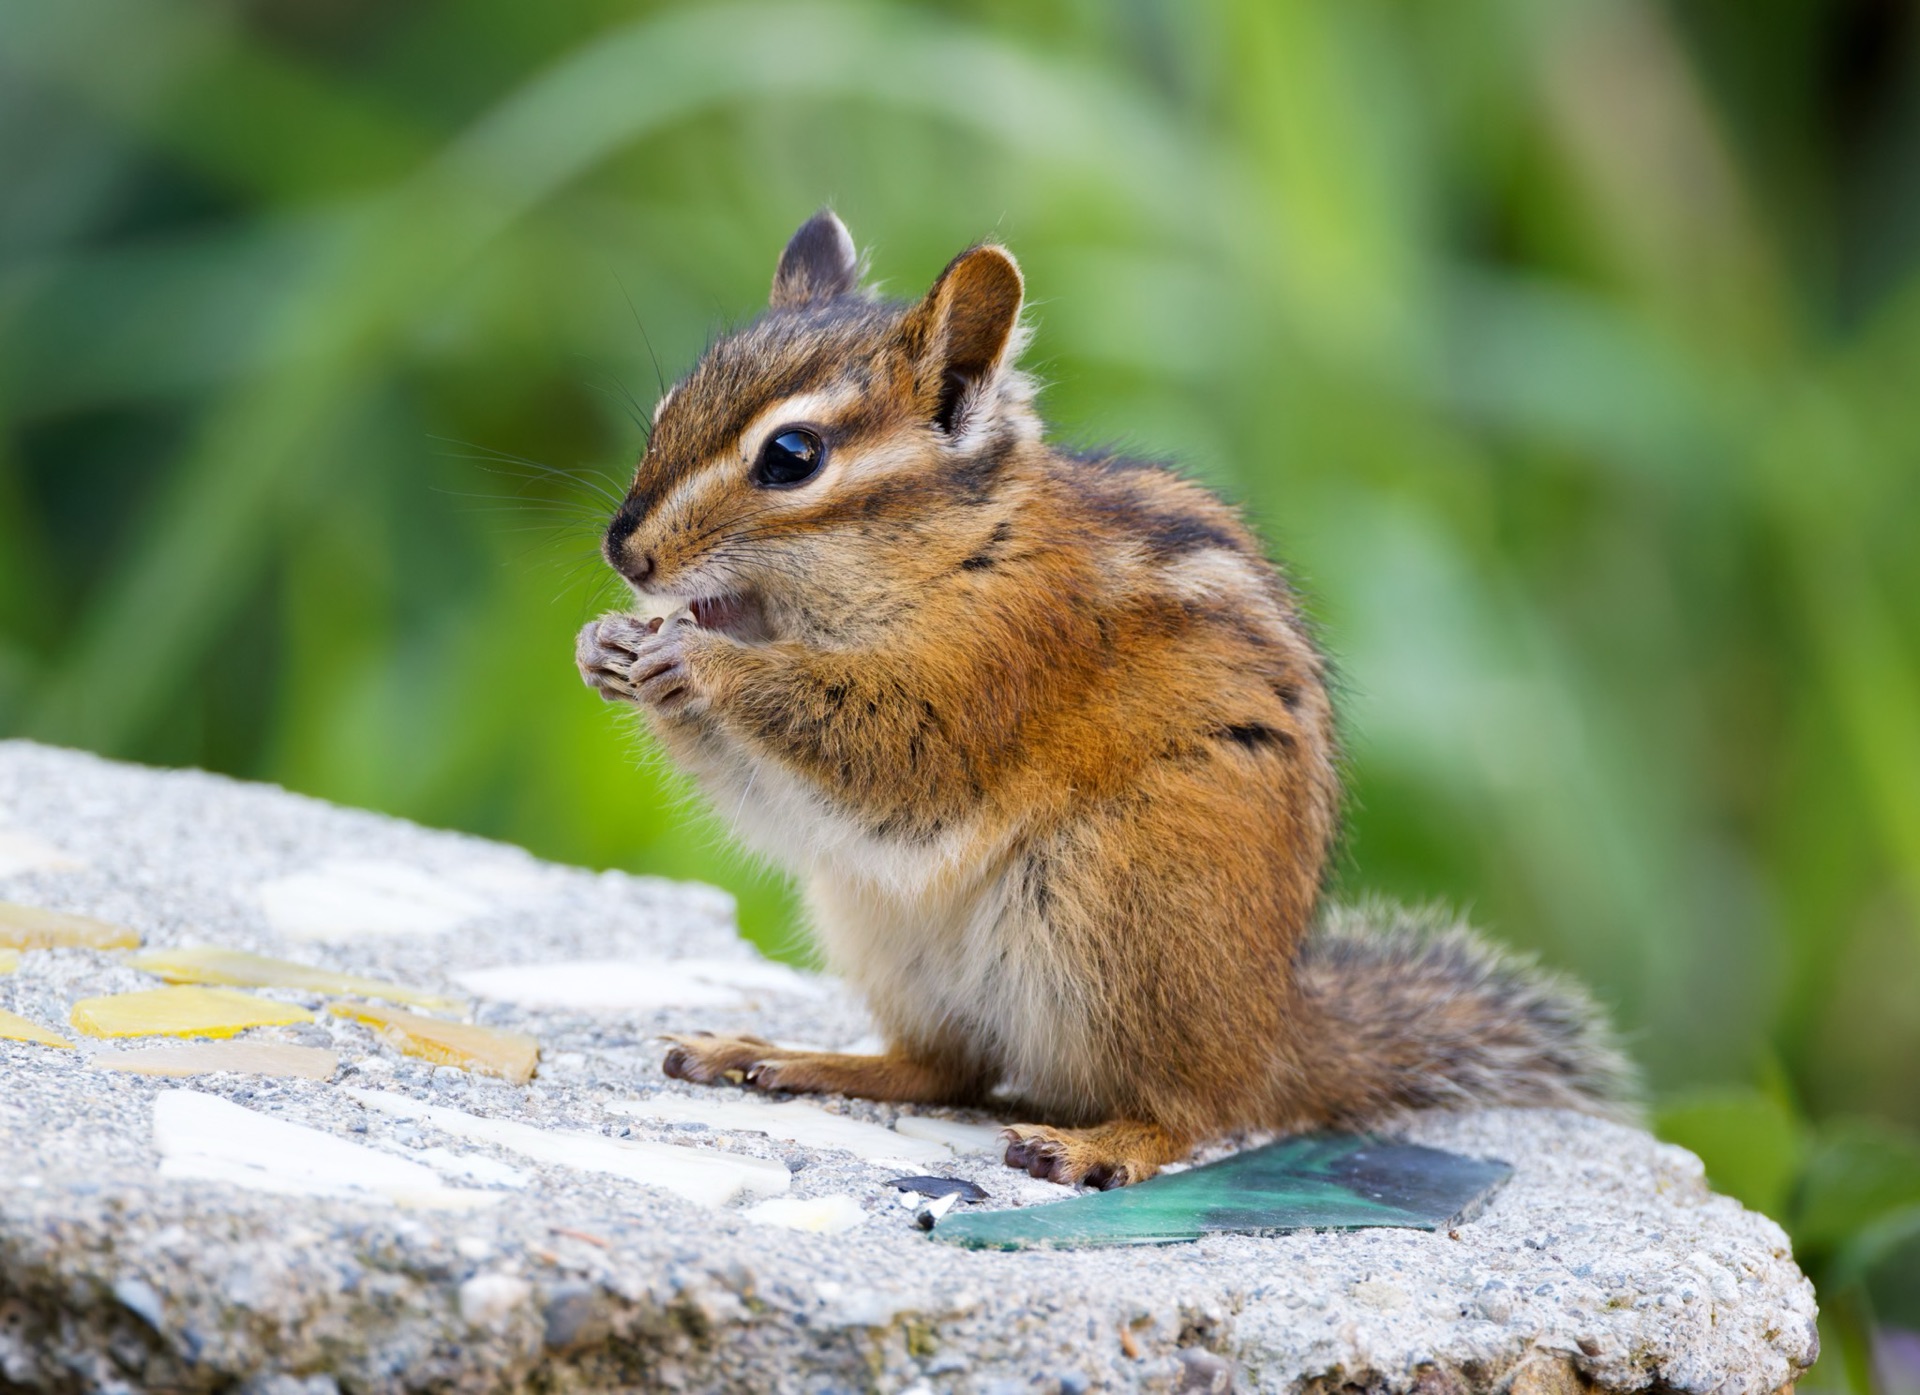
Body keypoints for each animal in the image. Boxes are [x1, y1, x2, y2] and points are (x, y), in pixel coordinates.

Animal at [575, 210, 1634, 1189]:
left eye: (791, 456)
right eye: (667, 410)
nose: (625, 553)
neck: (960, 549)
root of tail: (1274, 1029)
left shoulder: (998, 665)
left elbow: (888, 748)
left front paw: (697, 658)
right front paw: (608, 646)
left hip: (1120, 899)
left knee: (1194, 1110)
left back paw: (1099, 1144)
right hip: (881, 928)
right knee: (945, 1067)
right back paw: (784, 1056)